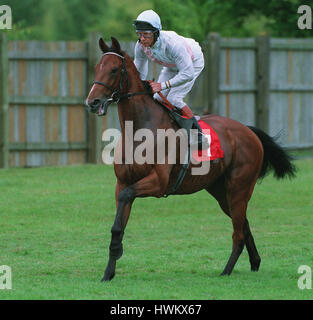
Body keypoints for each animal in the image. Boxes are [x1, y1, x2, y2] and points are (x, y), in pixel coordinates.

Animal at [85, 37, 294, 282]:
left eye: (114, 69)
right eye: (97, 68)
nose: (92, 101)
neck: (140, 128)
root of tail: (249, 131)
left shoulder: (158, 183)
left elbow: (127, 198)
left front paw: (117, 253)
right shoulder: (123, 182)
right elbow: (118, 223)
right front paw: (109, 271)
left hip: (239, 188)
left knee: (238, 231)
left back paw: (227, 270)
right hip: (221, 191)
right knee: (243, 223)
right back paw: (255, 262)